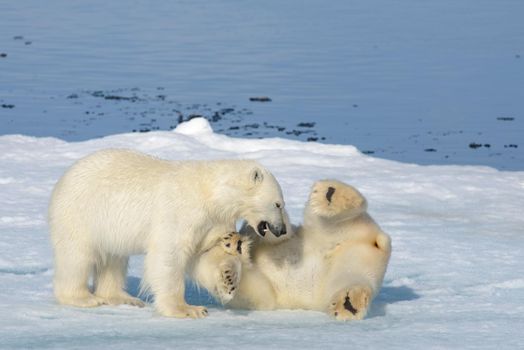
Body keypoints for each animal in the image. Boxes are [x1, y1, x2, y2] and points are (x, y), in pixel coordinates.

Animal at [48, 149, 286, 318]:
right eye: (278, 204)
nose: (281, 229)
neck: (209, 192)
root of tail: (63, 180)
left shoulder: (211, 221)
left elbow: (204, 254)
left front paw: (228, 280)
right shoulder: (180, 211)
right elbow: (169, 255)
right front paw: (187, 309)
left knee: (114, 259)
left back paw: (123, 298)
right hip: (81, 213)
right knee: (77, 257)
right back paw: (83, 298)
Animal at [194, 180, 390, 320]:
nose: (232, 241)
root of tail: (374, 240)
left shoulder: (269, 235)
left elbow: (277, 233)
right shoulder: (260, 293)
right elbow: (254, 293)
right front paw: (229, 270)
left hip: (329, 233)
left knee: (331, 219)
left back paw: (329, 193)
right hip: (349, 264)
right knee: (351, 278)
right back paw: (348, 303)